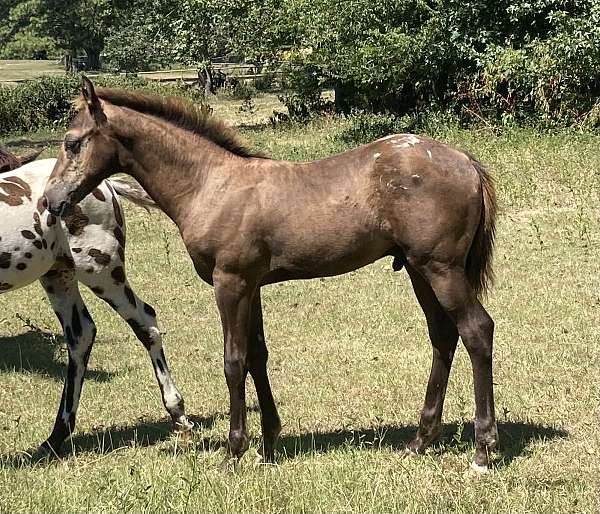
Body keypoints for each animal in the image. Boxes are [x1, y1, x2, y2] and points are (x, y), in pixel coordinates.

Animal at [0, 158, 192, 454]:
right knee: (81, 335)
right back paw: (55, 437)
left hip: (101, 271)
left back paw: (178, 415)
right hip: (59, 275)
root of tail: (108, 185)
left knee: (145, 322)